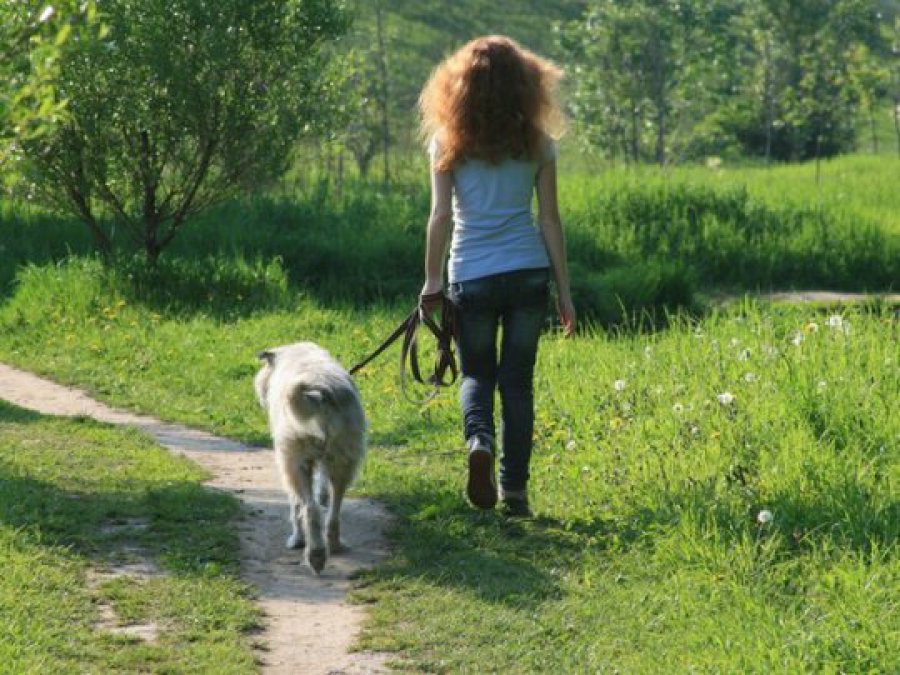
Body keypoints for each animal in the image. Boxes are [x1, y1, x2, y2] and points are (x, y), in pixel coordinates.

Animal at [253, 340, 366, 572]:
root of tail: (317, 393)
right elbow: (322, 486)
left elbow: (295, 504)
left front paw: (297, 540)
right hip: (344, 458)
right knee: (334, 509)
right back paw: (334, 545)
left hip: (295, 462)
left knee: (309, 509)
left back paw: (315, 554)